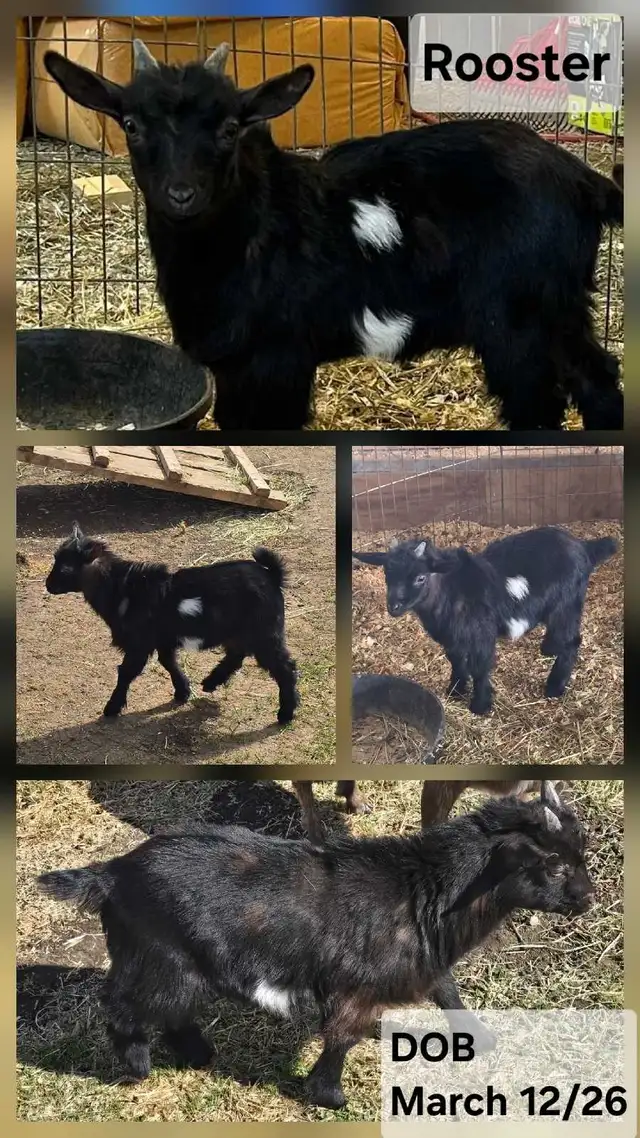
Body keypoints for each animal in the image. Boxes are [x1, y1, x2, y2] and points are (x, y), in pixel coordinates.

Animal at [39, 781, 592, 1108]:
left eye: (580, 854)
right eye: (553, 865)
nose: (588, 899)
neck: (422, 890)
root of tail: (111, 874)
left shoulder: (421, 960)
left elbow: (447, 991)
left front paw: (479, 1036)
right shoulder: (357, 988)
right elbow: (342, 1036)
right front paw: (329, 1096)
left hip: (181, 965)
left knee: (172, 1011)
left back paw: (198, 1055)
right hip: (157, 959)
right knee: (123, 1006)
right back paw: (137, 1068)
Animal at [43, 42, 623, 432]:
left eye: (230, 128)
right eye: (131, 125)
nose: (181, 194)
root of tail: (585, 180)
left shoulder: (279, 359)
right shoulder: (233, 368)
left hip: (519, 316)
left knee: (539, 402)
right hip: (558, 307)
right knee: (594, 378)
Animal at [44, 523, 299, 724]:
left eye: (65, 568)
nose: (48, 585)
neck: (123, 589)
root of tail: (272, 576)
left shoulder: (139, 643)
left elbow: (126, 672)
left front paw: (112, 708)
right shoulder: (163, 640)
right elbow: (169, 662)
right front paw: (183, 692)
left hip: (265, 631)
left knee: (284, 667)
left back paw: (285, 714)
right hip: (241, 631)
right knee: (237, 654)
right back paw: (211, 682)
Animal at [354, 525, 617, 715]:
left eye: (421, 577)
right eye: (386, 573)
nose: (394, 607)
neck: (452, 591)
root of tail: (583, 546)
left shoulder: (481, 634)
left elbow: (480, 668)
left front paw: (479, 705)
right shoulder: (452, 638)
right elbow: (456, 661)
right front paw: (455, 691)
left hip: (566, 604)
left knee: (572, 642)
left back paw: (554, 687)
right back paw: (548, 649)